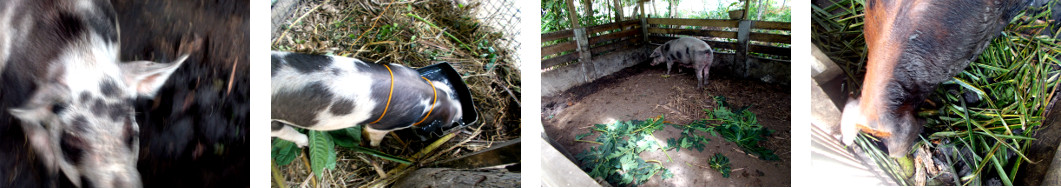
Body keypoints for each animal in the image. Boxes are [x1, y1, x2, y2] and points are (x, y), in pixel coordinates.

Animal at [271, 52, 462, 147]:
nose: (460, 113)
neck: (430, 100)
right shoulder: (386, 124)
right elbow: (375, 133)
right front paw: (375, 146)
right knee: (284, 131)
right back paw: (304, 142)